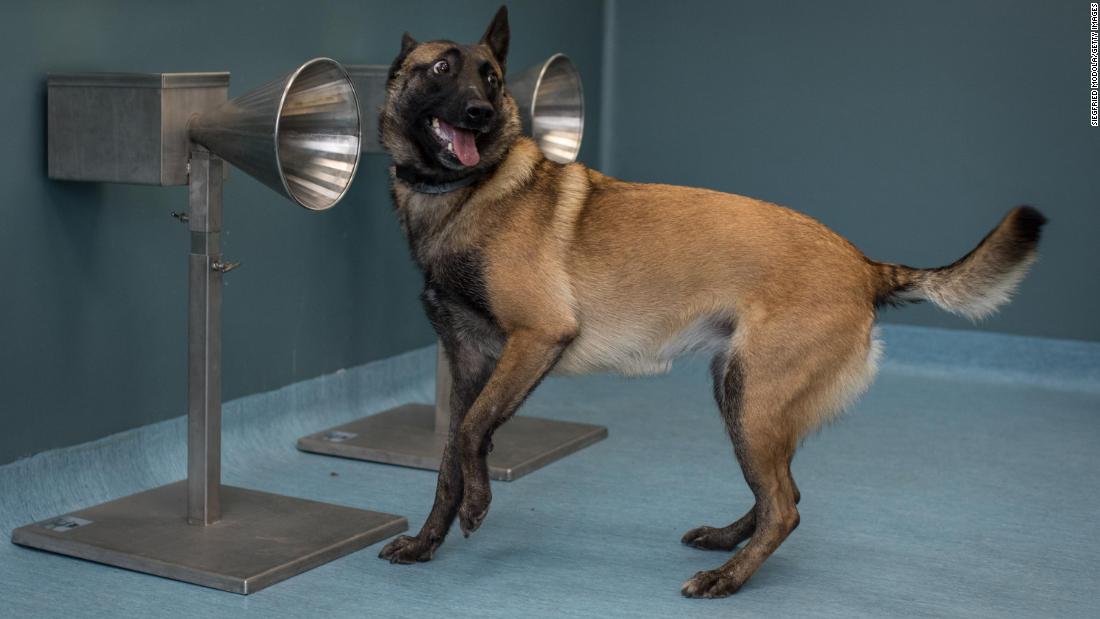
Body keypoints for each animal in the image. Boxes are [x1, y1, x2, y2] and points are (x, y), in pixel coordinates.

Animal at [374, 6, 1042, 602]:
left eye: (489, 76)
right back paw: (727, 541)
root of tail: (864, 266)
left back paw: (728, 579)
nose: (481, 113)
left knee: (784, 507)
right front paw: (427, 542)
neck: (465, 195)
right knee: (783, 494)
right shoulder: (468, 365)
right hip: (740, 397)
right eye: (440, 69)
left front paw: (479, 503)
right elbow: (449, 458)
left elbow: (472, 434)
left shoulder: (537, 339)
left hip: (752, 400)